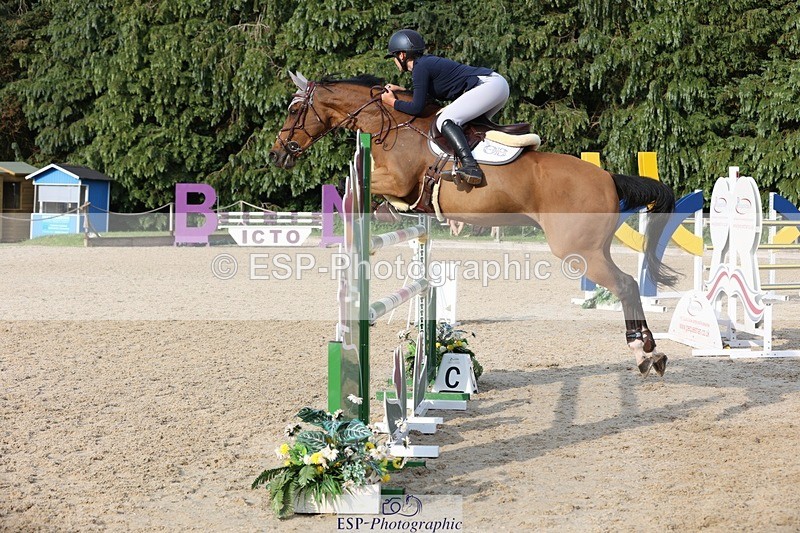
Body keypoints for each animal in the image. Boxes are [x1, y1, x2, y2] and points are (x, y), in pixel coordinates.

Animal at [269, 72, 679, 377]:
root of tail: (608, 177)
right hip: (595, 248)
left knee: (624, 285)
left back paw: (643, 352)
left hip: (579, 251)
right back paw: (650, 352)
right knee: (627, 284)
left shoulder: (398, 182)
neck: (392, 125)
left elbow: (353, 191)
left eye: (294, 109)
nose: (276, 154)